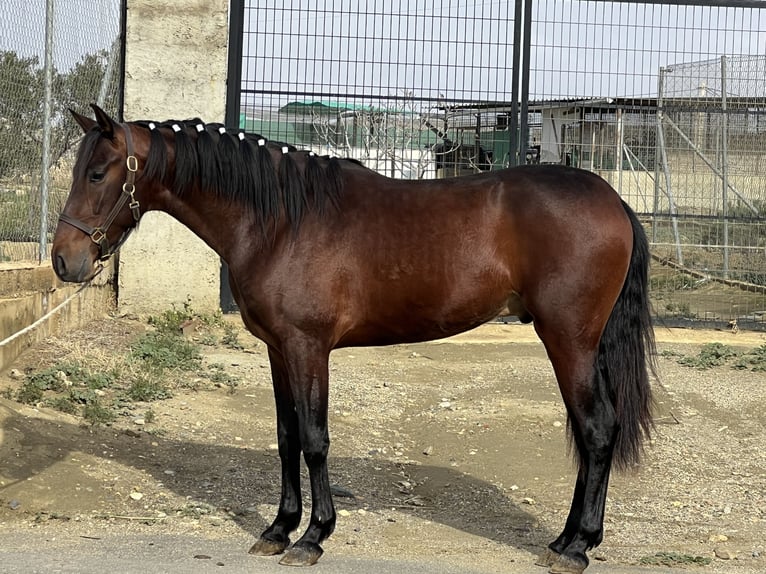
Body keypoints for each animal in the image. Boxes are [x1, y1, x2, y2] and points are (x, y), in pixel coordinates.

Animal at [51, 104, 656, 574]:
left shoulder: (308, 347)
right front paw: (278, 530)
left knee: (597, 430)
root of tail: (613, 201)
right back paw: (566, 539)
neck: (281, 220)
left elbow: (315, 439)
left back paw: (576, 547)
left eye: (98, 174)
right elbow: (287, 437)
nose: (63, 261)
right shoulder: (278, 350)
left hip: (570, 341)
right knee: (591, 434)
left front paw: (313, 537)